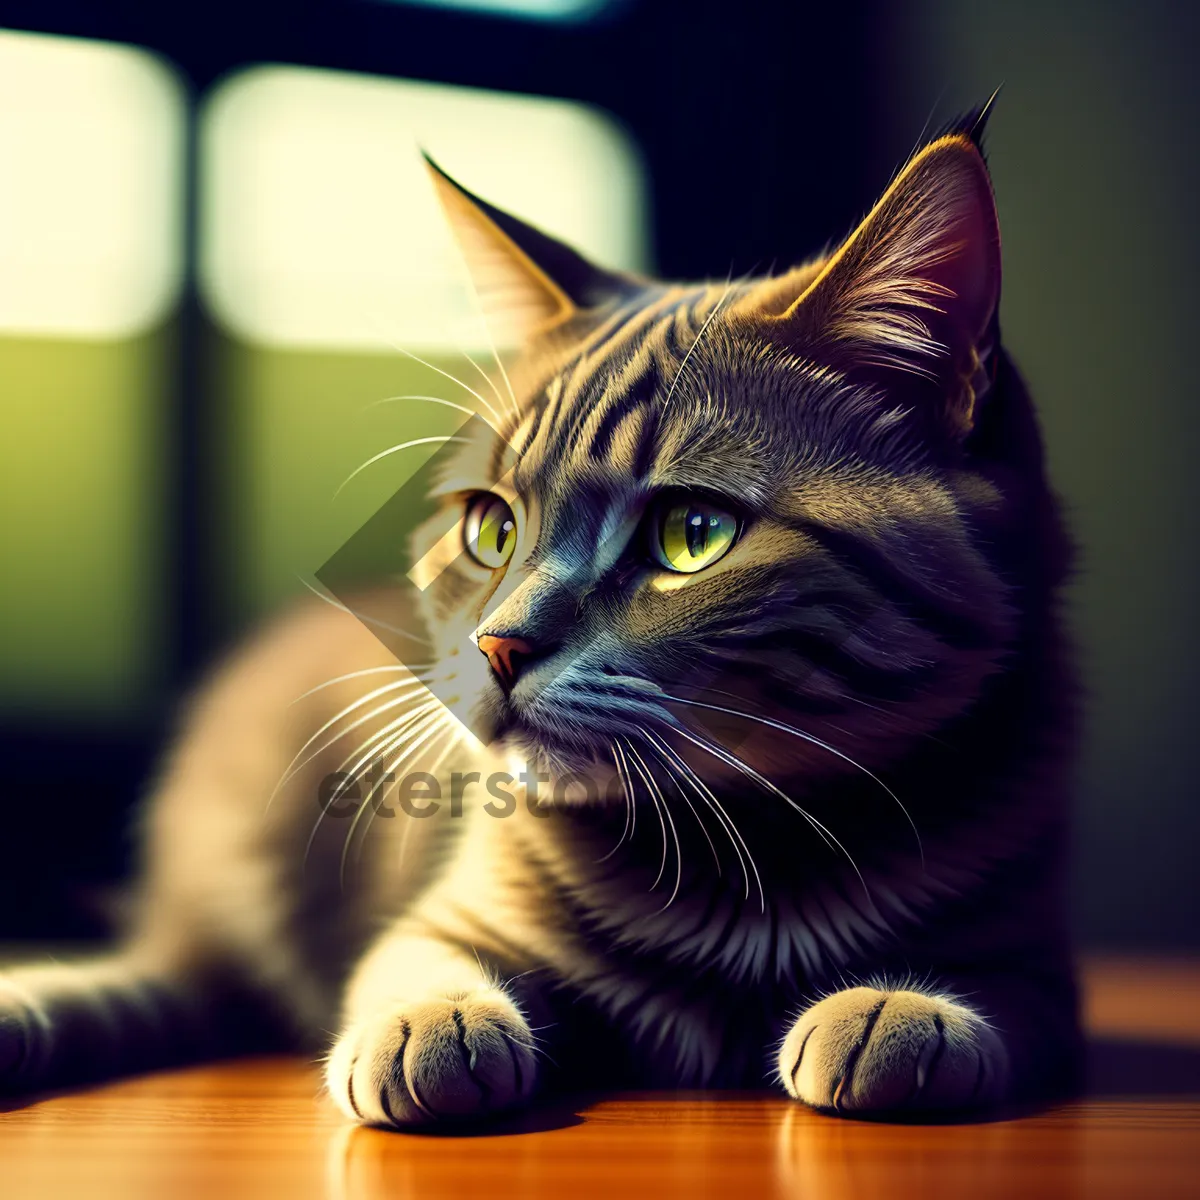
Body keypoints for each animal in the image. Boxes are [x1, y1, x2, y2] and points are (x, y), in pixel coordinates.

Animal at [0, 105, 1080, 1123]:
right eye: (492, 528)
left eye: (692, 534)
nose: (499, 645)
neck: (741, 861)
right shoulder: (441, 919)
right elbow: (414, 965)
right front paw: (432, 1025)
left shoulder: (1036, 963)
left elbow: (1001, 992)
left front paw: (901, 1010)